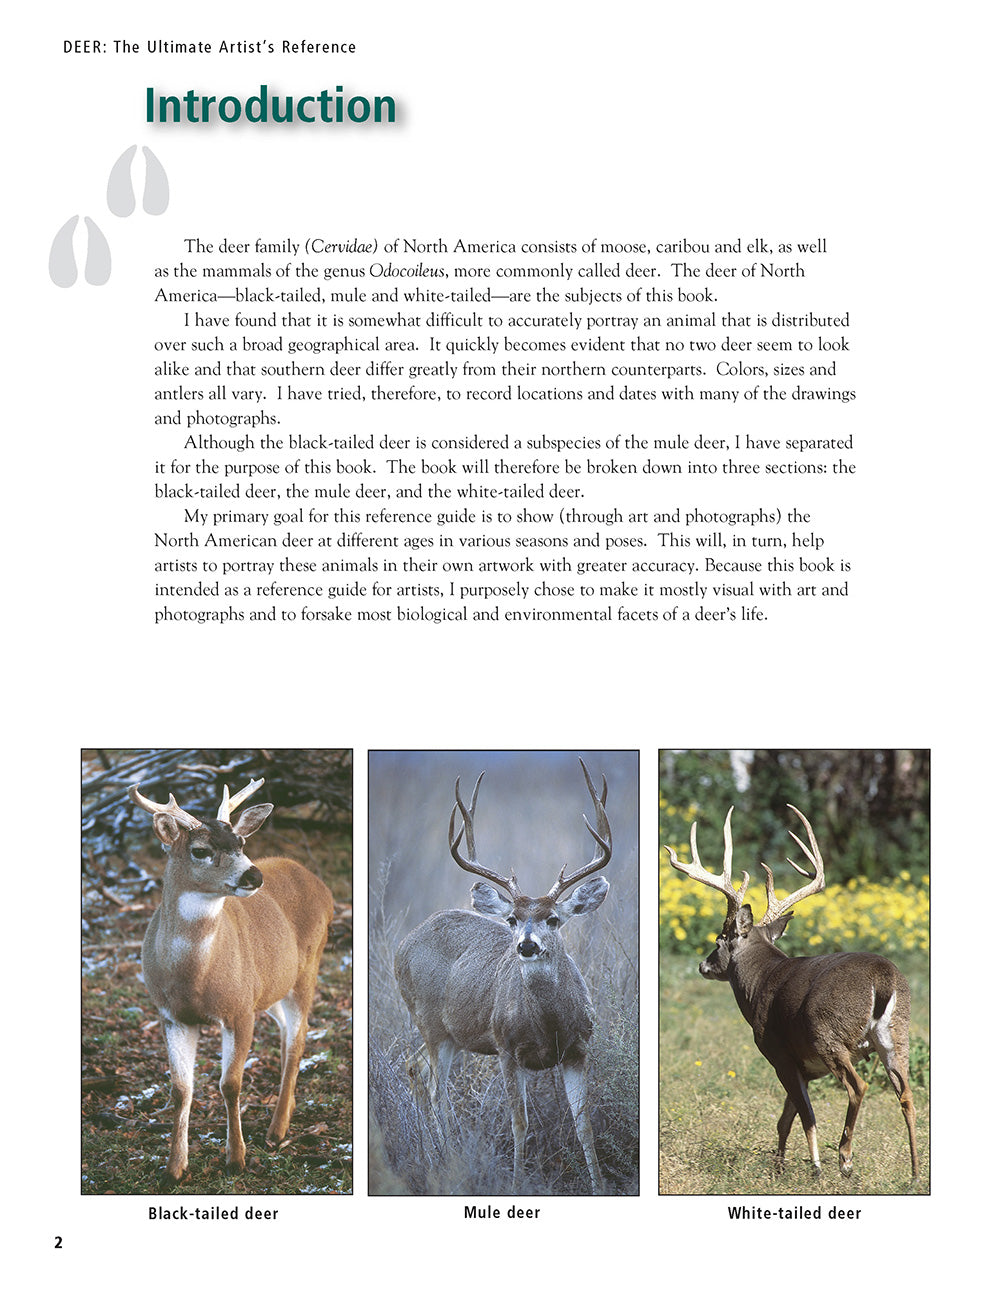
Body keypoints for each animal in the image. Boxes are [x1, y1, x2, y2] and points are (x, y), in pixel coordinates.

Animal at [130, 779, 334, 1184]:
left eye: (240, 843)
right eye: (200, 850)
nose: (254, 876)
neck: (194, 978)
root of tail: (319, 883)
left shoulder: (239, 1011)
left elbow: (230, 1084)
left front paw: (236, 1159)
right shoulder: (171, 1015)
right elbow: (180, 1089)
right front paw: (174, 1169)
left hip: (307, 969)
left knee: (299, 1037)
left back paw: (277, 1131)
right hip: (270, 988)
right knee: (287, 1032)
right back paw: (284, 1114)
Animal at [394, 759, 613, 1194]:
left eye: (554, 919)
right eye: (512, 919)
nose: (526, 945)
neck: (549, 1025)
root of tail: (403, 946)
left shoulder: (579, 1047)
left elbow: (584, 1125)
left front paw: (599, 1186)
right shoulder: (507, 1047)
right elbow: (519, 1122)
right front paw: (515, 1182)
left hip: (452, 1033)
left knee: (414, 1067)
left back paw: (432, 1154)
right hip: (428, 1020)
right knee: (436, 1090)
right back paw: (447, 1160)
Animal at [666, 804, 919, 1179]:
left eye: (719, 939)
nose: (703, 965)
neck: (759, 983)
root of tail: (884, 978)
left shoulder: (778, 1053)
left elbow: (805, 1115)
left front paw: (813, 1165)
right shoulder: (805, 1067)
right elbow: (785, 1118)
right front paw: (779, 1165)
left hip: (828, 1034)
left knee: (858, 1086)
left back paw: (844, 1159)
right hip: (896, 1033)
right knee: (906, 1093)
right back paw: (915, 1171)